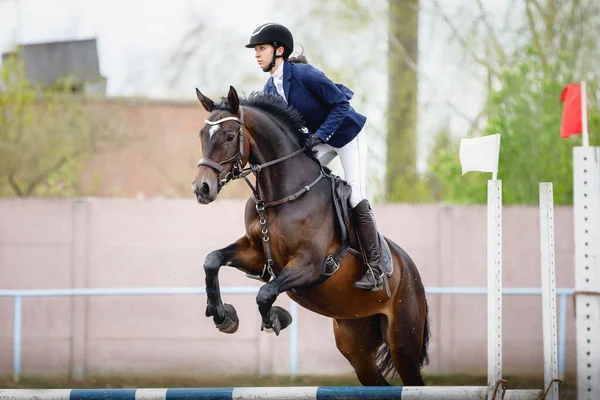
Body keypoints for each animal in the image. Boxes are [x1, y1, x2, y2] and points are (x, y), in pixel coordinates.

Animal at [190, 85, 428, 388]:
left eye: (230, 136)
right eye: (201, 134)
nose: (202, 188)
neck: (280, 196)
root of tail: (410, 269)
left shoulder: (309, 265)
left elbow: (265, 293)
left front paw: (275, 319)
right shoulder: (256, 254)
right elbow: (212, 260)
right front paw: (223, 315)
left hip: (403, 341)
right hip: (357, 341)